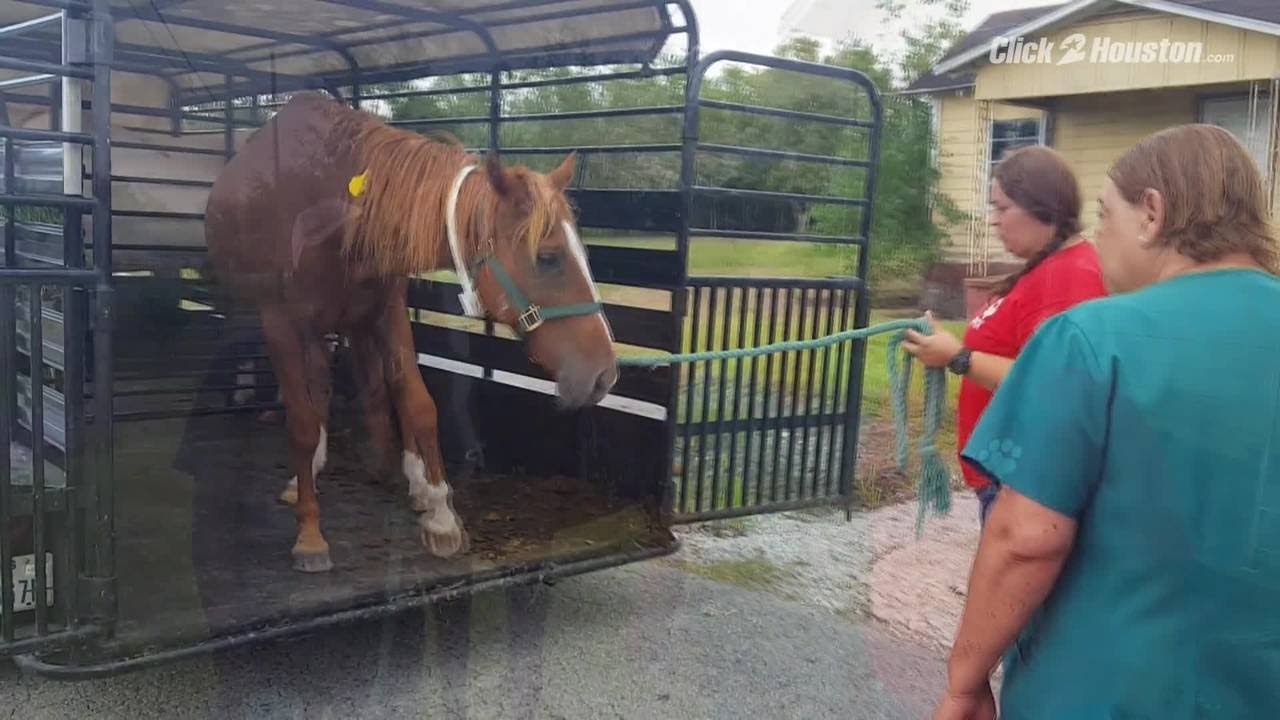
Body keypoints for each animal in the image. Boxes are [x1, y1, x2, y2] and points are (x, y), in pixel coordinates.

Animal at [204, 92, 617, 573]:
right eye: (548, 257)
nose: (605, 374)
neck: (330, 210)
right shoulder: (282, 324)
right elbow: (302, 422)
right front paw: (309, 533)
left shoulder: (388, 312)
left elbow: (418, 404)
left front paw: (440, 514)